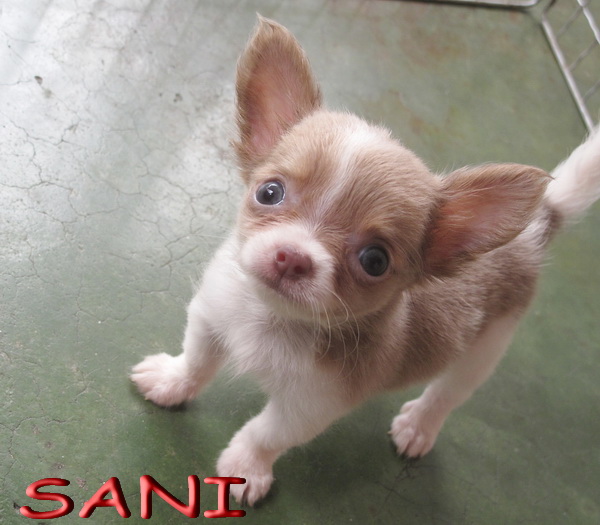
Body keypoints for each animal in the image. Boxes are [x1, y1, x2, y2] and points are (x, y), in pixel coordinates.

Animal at [131, 16, 600, 506]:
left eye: (374, 260)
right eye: (269, 192)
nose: (292, 257)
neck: (272, 321)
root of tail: (538, 222)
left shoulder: (308, 407)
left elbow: (265, 433)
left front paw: (245, 469)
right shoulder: (211, 319)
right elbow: (196, 361)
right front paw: (171, 382)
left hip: (485, 350)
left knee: (448, 394)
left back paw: (419, 426)